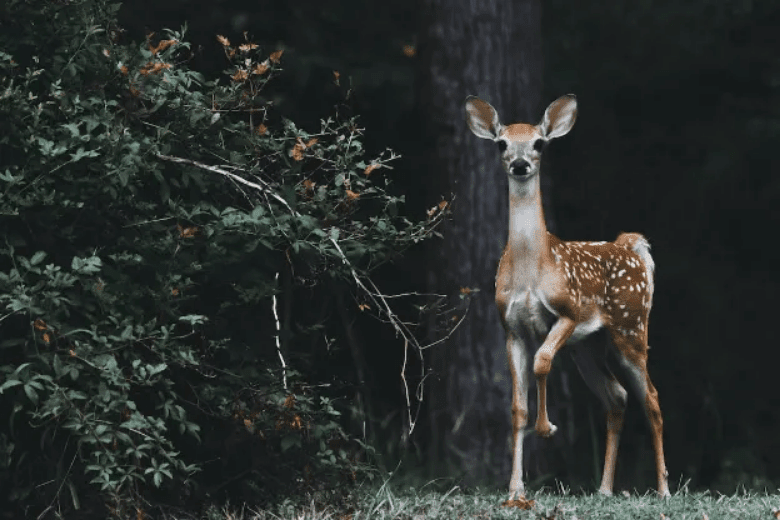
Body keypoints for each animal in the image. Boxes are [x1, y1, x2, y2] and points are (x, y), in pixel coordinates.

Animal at [464, 94, 670, 500]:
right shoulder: (510, 328)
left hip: (631, 327)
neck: (532, 269)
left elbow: (542, 362)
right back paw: (604, 489)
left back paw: (664, 489)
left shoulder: (568, 311)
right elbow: (517, 407)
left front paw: (547, 428)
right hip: (588, 346)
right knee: (617, 396)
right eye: (501, 144)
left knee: (651, 399)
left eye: (540, 143)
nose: (521, 164)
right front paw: (516, 489)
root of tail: (631, 246)